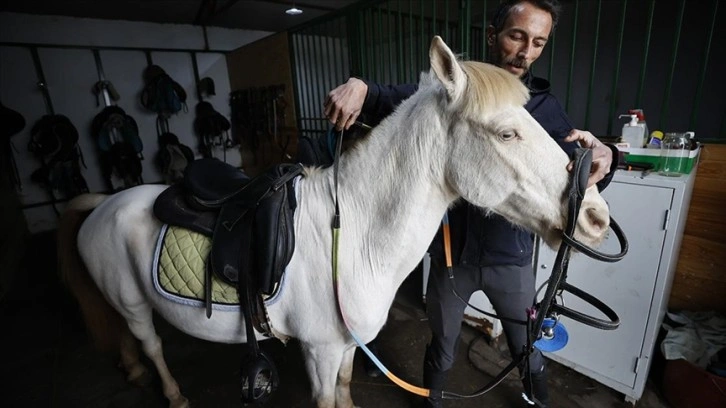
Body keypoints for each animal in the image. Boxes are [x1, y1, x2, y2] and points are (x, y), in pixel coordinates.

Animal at [59, 36, 612, 406]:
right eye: (506, 134)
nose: (595, 216)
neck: (355, 235)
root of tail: (103, 204)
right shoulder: (320, 352)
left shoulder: (346, 347)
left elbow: (347, 388)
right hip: (134, 304)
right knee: (150, 343)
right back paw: (172, 392)